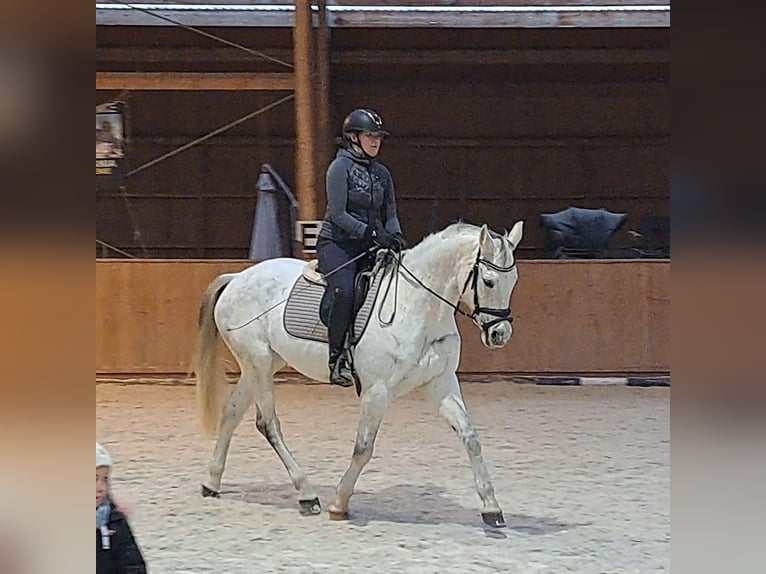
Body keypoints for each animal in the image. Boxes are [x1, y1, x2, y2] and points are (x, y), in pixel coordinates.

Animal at [192, 220, 524, 528]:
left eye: (514, 280)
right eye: (489, 281)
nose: (500, 334)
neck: (418, 306)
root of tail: (237, 278)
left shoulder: (440, 383)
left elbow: (470, 437)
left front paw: (491, 508)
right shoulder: (377, 392)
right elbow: (363, 448)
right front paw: (339, 502)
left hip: (261, 364)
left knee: (231, 413)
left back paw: (211, 482)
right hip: (258, 361)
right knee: (269, 425)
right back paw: (307, 495)